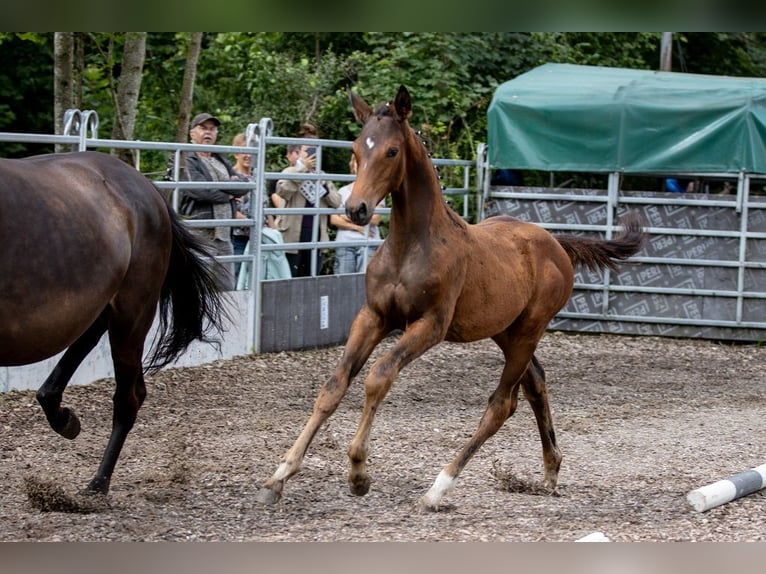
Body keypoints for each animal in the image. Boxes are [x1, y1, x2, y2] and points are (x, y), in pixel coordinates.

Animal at [0, 151, 225, 498]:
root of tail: (149, 188)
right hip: (106, 307)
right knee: (91, 351)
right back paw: (64, 418)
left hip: (133, 315)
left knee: (127, 399)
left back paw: (97, 483)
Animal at [260, 84, 648, 508]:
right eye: (356, 149)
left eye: (391, 151)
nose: (356, 209)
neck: (411, 245)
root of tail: (555, 244)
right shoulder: (373, 315)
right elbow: (334, 386)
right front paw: (279, 475)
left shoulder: (430, 325)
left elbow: (379, 377)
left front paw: (359, 472)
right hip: (505, 330)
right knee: (535, 384)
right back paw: (550, 471)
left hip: (529, 329)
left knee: (502, 404)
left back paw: (439, 486)